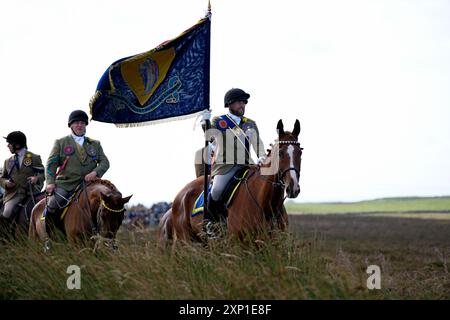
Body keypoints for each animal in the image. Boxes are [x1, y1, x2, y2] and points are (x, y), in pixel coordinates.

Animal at [158, 119, 302, 246]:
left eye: (300, 152)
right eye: (280, 153)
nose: (293, 188)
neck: (266, 202)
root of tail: (180, 195)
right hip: (187, 241)